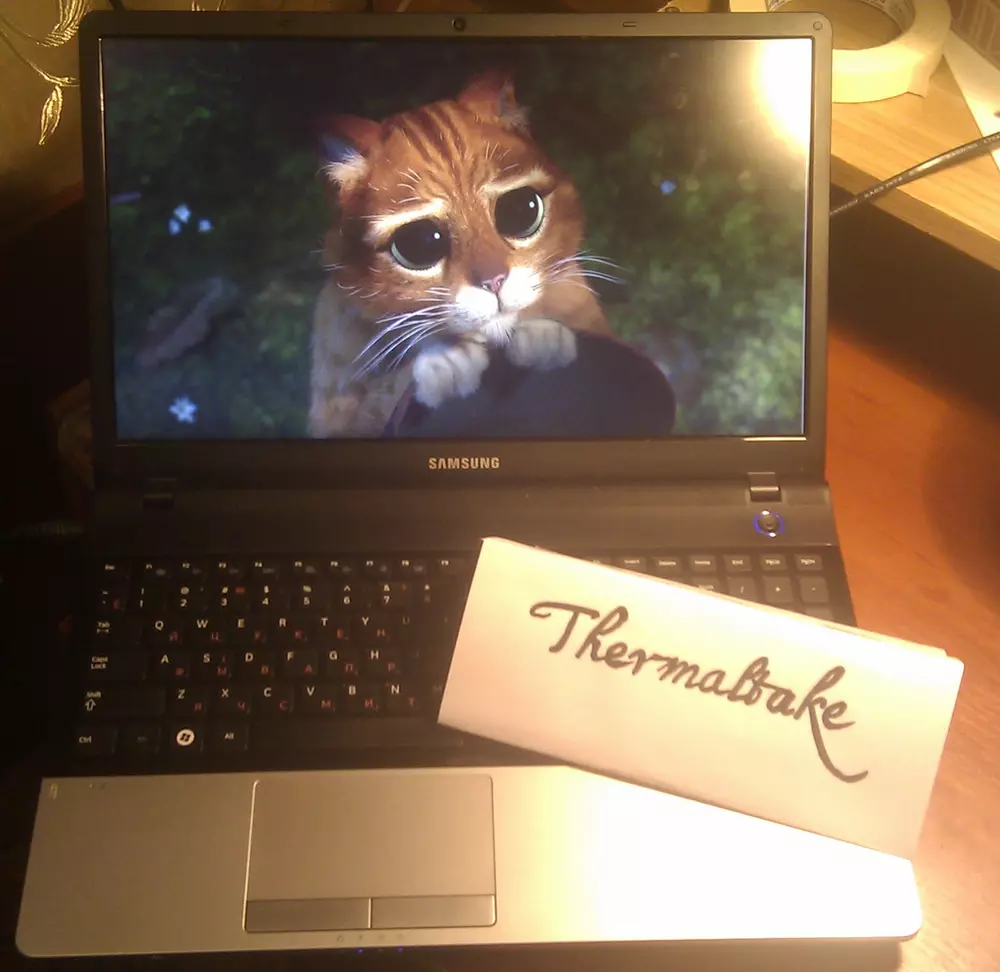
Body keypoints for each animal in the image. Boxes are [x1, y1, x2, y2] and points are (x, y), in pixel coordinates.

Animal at [308, 69, 616, 438]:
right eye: (422, 242)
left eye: (523, 209)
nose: (494, 281)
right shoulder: (335, 408)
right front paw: (444, 360)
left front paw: (546, 336)